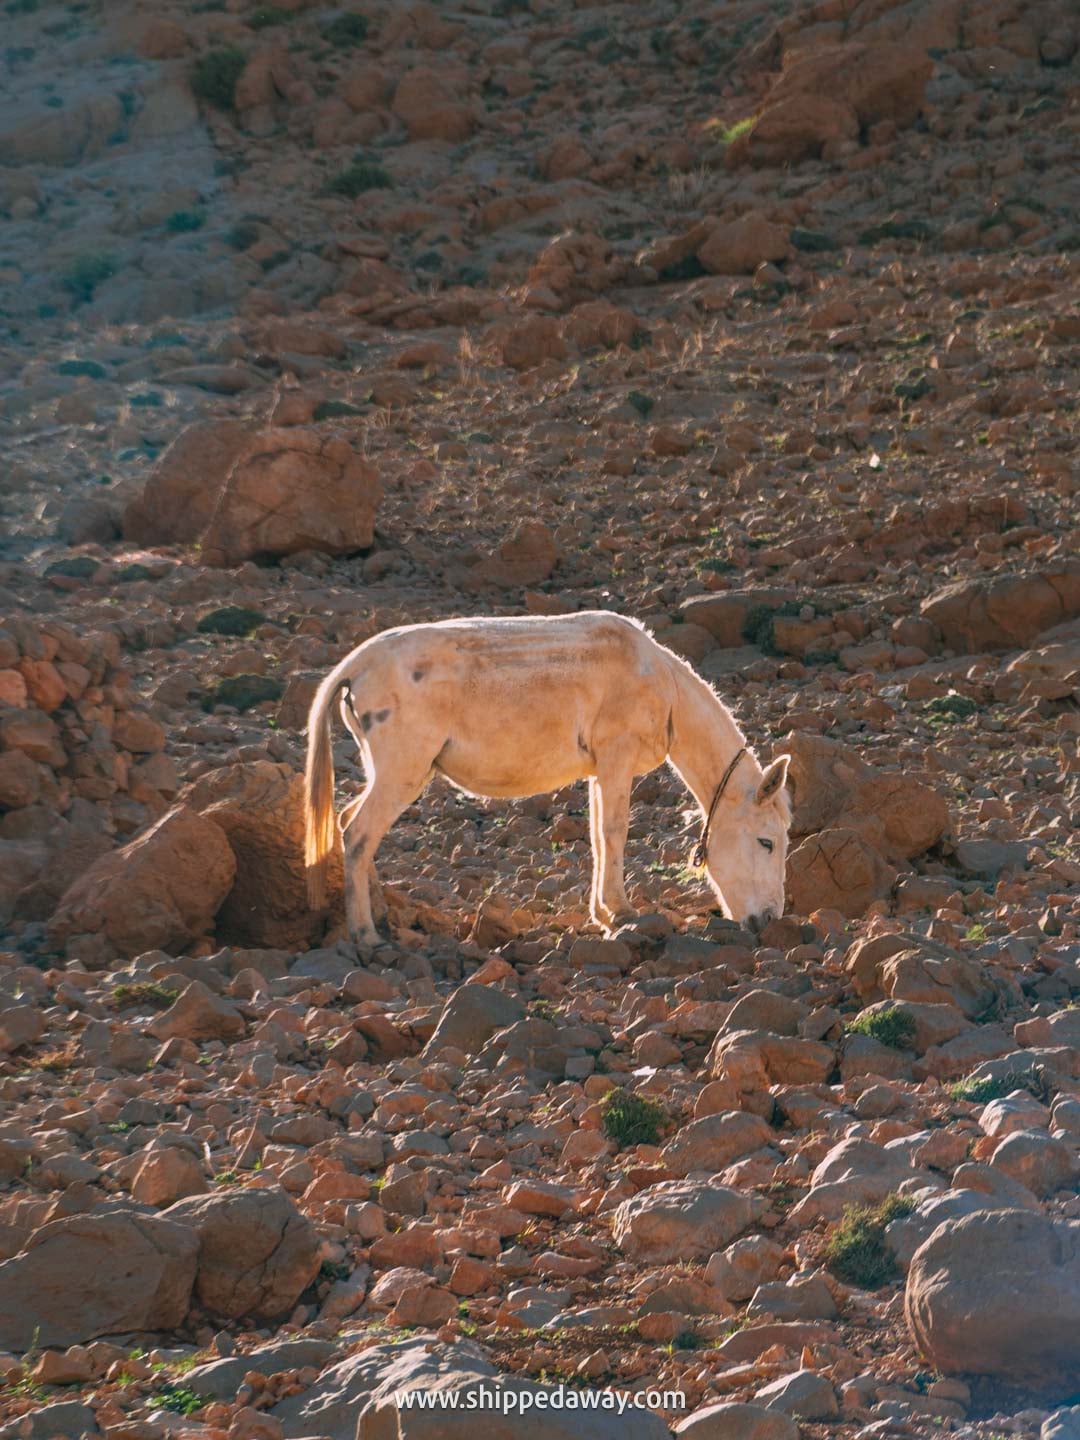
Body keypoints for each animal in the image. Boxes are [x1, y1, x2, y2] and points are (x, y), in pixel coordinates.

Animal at [304, 610, 791, 948]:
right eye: (767, 842)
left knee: (349, 823)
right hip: (403, 768)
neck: (663, 683)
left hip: (389, 769)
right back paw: (366, 934)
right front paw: (623, 913)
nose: (770, 920)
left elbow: (597, 835)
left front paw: (603, 914)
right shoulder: (617, 754)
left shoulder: (601, 769)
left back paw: (381, 915)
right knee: (359, 832)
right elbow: (615, 831)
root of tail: (356, 664)